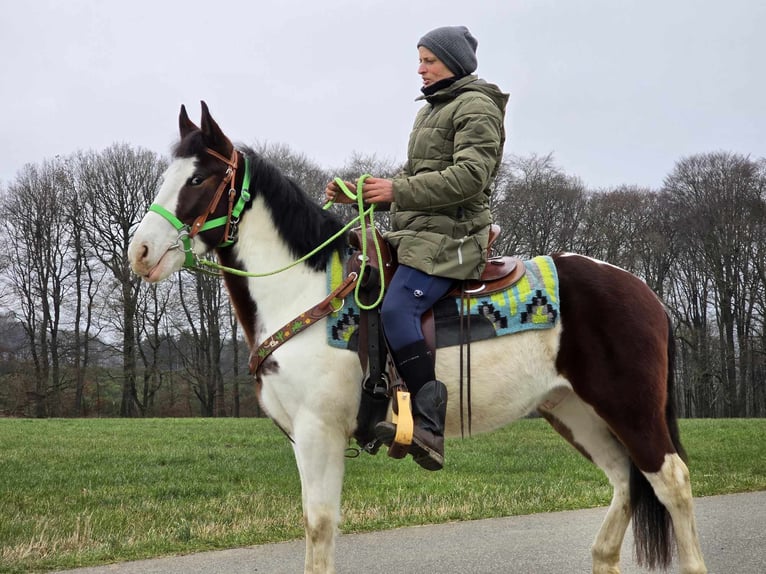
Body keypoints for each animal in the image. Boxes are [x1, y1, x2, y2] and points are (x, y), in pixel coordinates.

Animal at [127, 103, 708, 574]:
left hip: (629, 409)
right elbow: (317, 526)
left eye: (198, 178)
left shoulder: (319, 434)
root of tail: (643, 290)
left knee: (671, 482)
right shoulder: (305, 439)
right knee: (626, 483)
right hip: (575, 412)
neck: (306, 291)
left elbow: (320, 527)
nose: (141, 252)